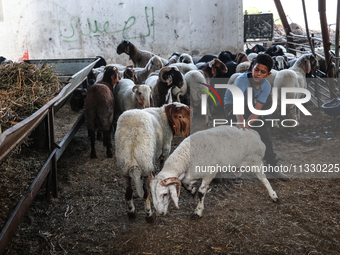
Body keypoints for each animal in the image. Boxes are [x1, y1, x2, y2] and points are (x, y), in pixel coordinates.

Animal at [149, 124, 278, 218]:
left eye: (165, 194)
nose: (159, 213)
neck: (186, 155)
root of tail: (255, 134)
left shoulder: (209, 173)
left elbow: (201, 192)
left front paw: (198, 211)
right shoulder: (191, 174)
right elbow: (185, 183)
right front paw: (192, 190)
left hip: (255, 161)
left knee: (264, 179)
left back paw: (273, 195)